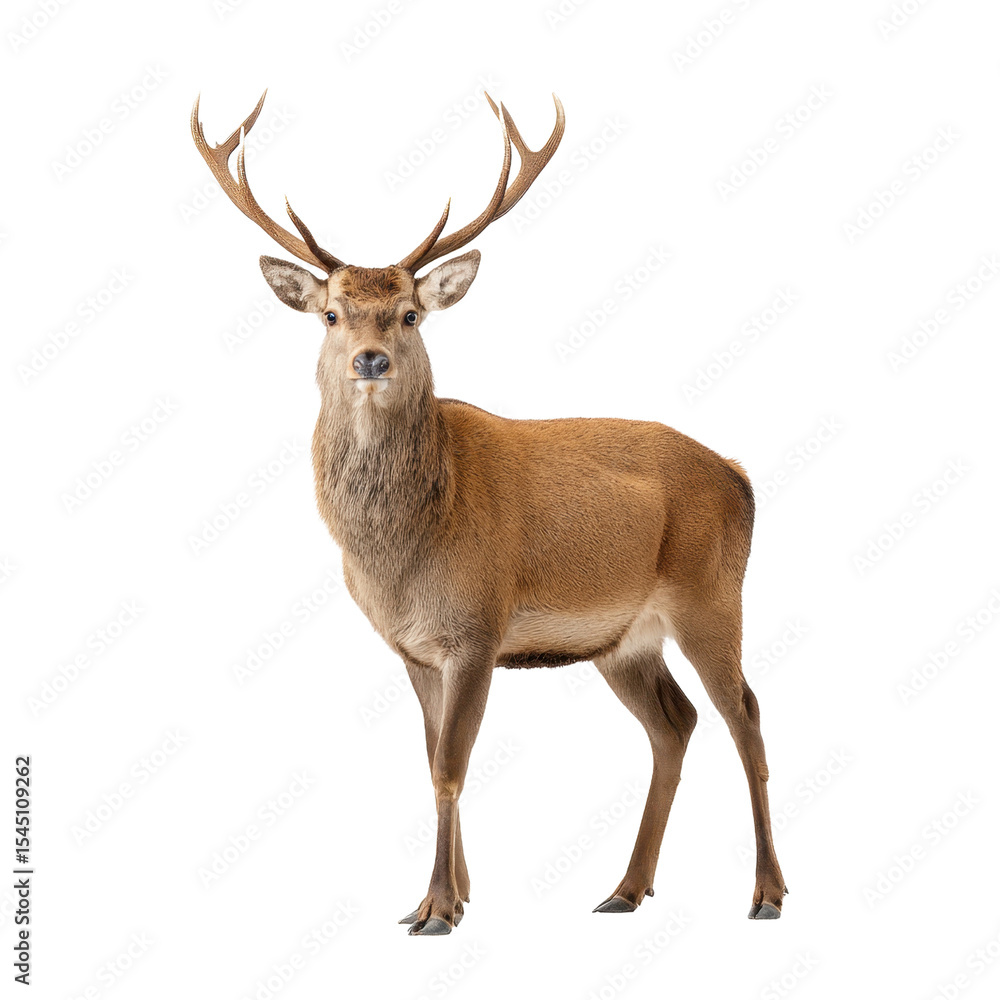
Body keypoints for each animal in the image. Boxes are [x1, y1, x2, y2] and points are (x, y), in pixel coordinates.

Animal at [191, 91, 787, 935]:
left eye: (411, 313)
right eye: (332, 314)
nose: (370, 358)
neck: (403, 554)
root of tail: (740, 476)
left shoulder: (476, 626)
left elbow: (451, 765)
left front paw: (439, 908)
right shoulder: (411, 648)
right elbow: (428, 756)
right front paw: (449, 895)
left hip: (713, 594)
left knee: (747, 717)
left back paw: (766, 893)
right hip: (625, 639)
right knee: (675, 724)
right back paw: (624, 889)